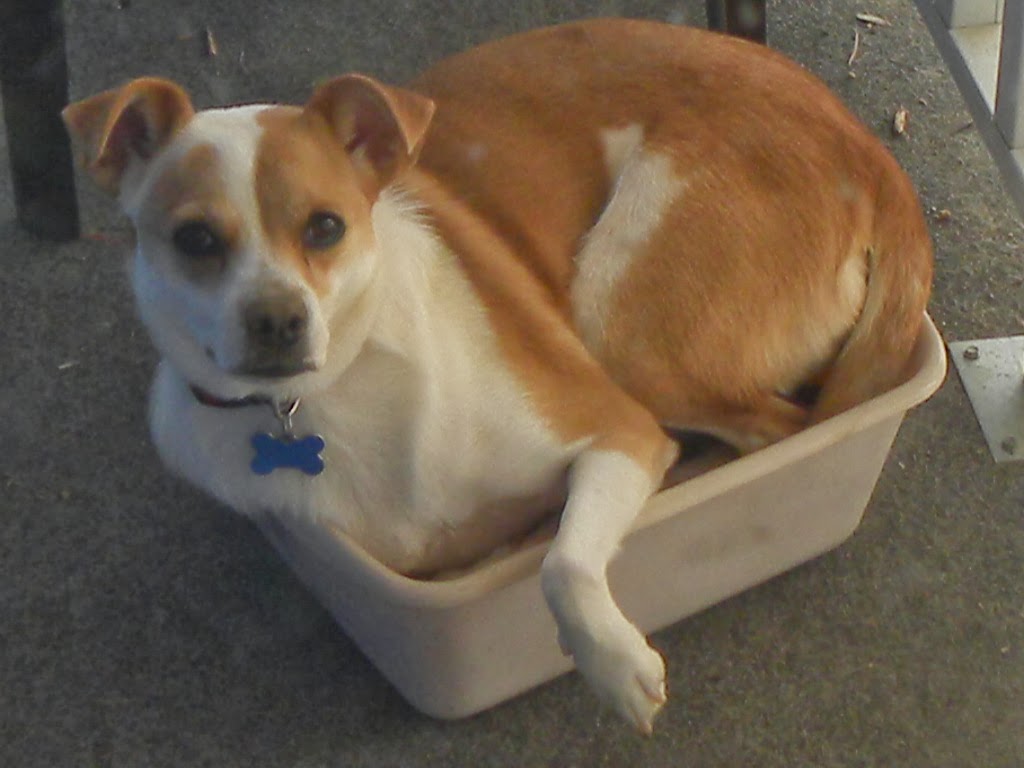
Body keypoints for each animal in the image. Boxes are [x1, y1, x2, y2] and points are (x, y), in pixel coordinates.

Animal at [61, 19, 929, 733]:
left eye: (326, 227)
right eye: (196, 239)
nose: (278, 320)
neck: (324, 401)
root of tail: (868, 151)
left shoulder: (619, 431)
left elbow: (565, 563)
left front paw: (613, 662)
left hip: (618, 321)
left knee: (775, 430)